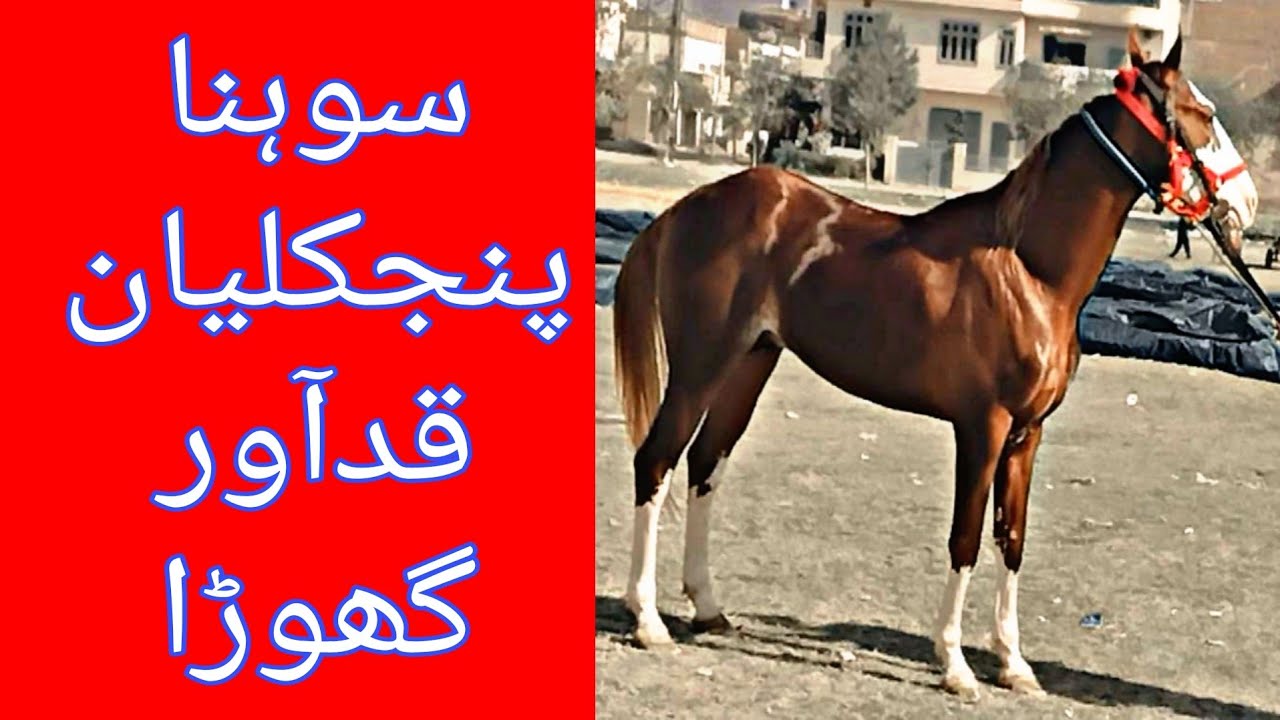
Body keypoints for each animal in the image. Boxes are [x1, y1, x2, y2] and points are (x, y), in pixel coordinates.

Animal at [611, 29, 1258, 700]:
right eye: (1203, 114)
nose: (1247, 202)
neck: (1029, 272)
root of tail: (687, 207)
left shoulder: (1027, 435)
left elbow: (1012, 539)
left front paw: (1013, 663)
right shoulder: (983, 427)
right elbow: (966, 538)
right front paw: (955, 664)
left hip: (749, 365)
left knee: (705, 463)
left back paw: (708, 607)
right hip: (700, 365)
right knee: (656, 461)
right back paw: (648, 618)